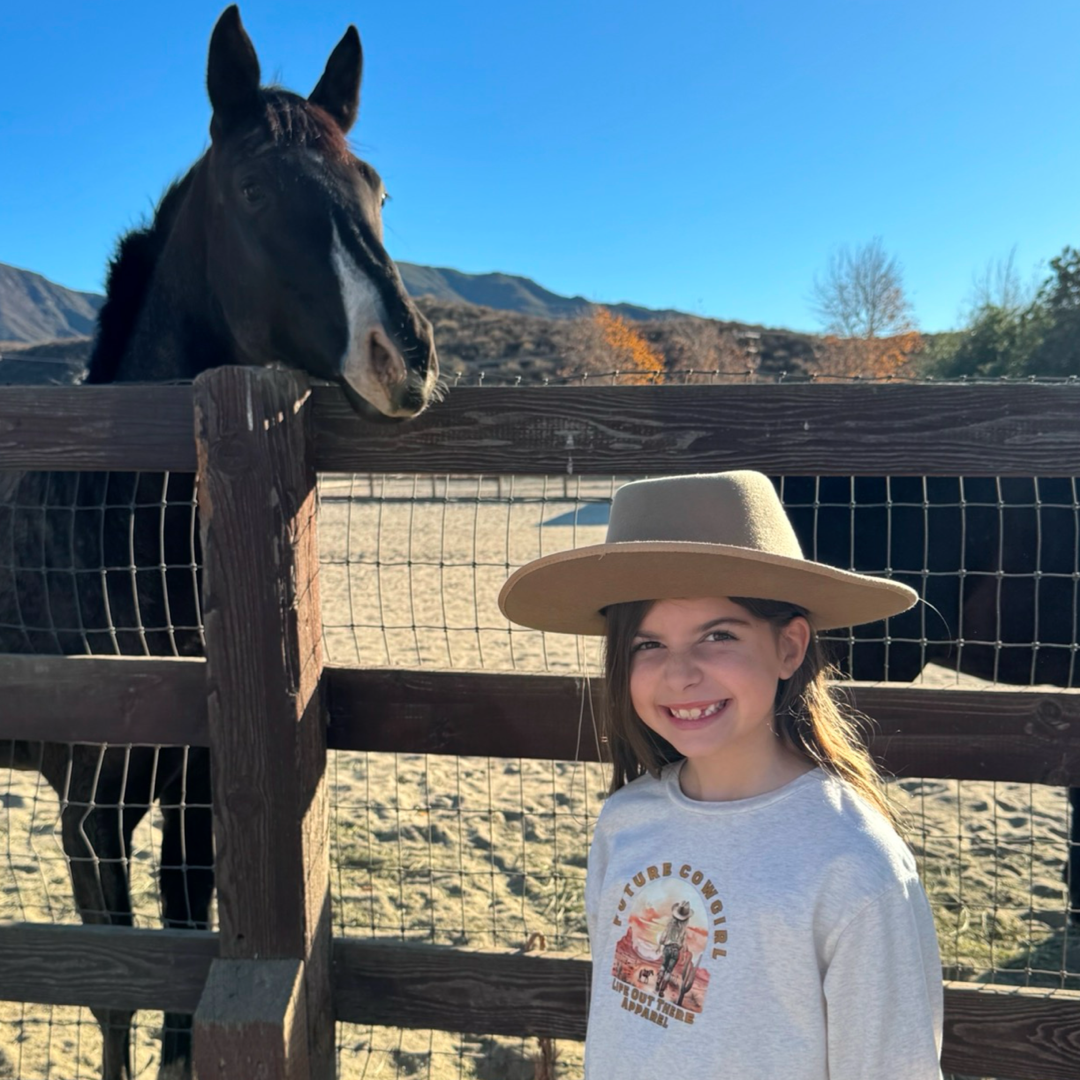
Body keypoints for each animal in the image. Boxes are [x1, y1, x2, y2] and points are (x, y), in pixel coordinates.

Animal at [1, 8, 438, 1080]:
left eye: (377, 189)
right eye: (252, 190)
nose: (407, 356)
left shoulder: (195, 798)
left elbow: (180, 993)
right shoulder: (92, 808)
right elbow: (116, 996)